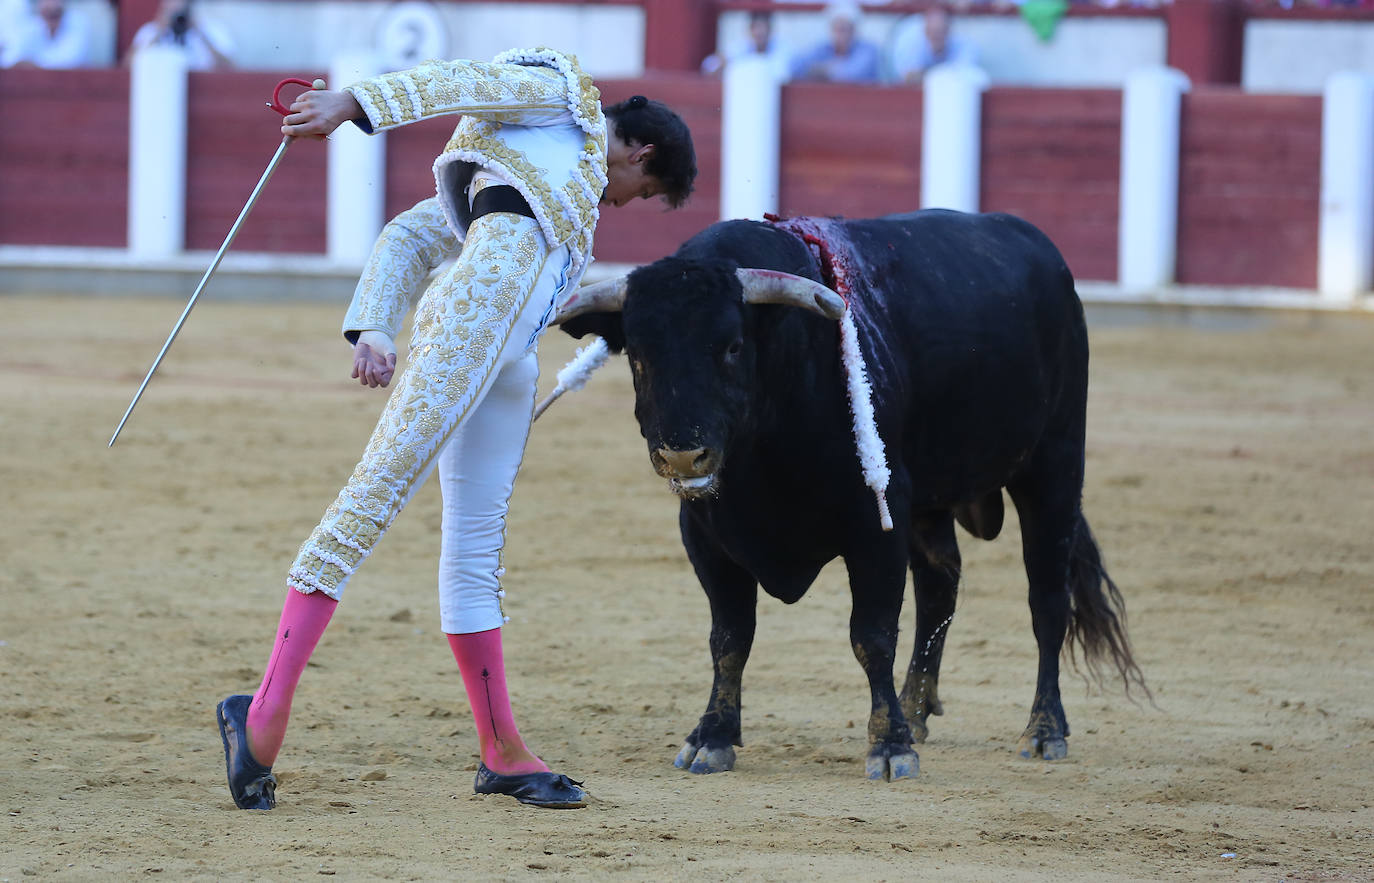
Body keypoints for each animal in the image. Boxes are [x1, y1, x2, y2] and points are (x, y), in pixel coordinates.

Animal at [557, 208, 1148, 780]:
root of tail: (1042, 251)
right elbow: (729, 638)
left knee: (1046, 599)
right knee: (940, 586)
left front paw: (889, 747)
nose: (683, 457)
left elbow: (872, 634)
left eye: (732, 346)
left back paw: (1043, 730)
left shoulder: (876, 524)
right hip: (931, 503)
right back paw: (916, 709)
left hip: (1055, 466)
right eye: (637, 355)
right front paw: (712, 737)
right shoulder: (705, 535)